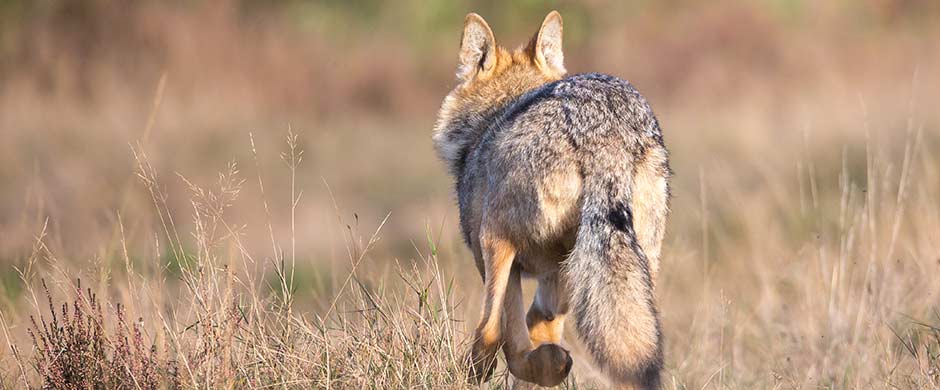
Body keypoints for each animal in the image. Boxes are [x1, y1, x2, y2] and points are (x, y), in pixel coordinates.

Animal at [434, 10, 668, 388]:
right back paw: (554, 363)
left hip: (496, 239)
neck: (493, 117)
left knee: (490, 332)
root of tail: (605, 132)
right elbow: (539, 325)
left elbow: (506, 334)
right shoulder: (553, 277)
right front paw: (546, 362)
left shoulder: (492, 256)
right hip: (624, 267)